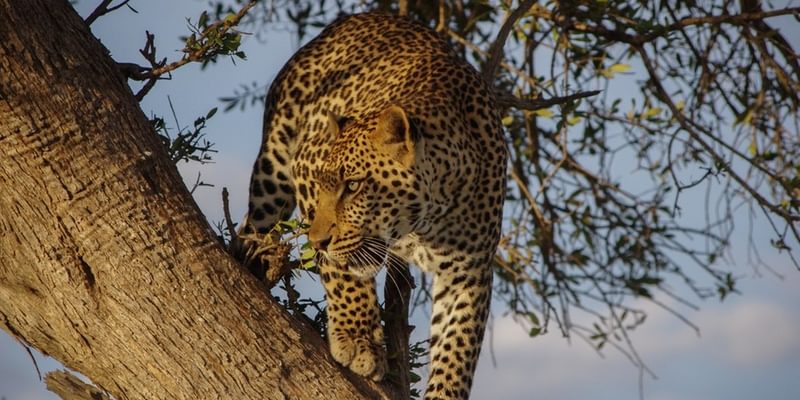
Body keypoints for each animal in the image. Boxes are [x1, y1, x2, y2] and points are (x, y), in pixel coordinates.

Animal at [240, 12, 507, 400]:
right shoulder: (305, 165)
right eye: (323, 185)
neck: (425, 221)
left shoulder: (469, 272)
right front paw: (358, 340)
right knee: (252, 227)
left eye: (353, 187)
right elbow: (341, 272)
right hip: (273, 171)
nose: (317, 241)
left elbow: (457, 351)